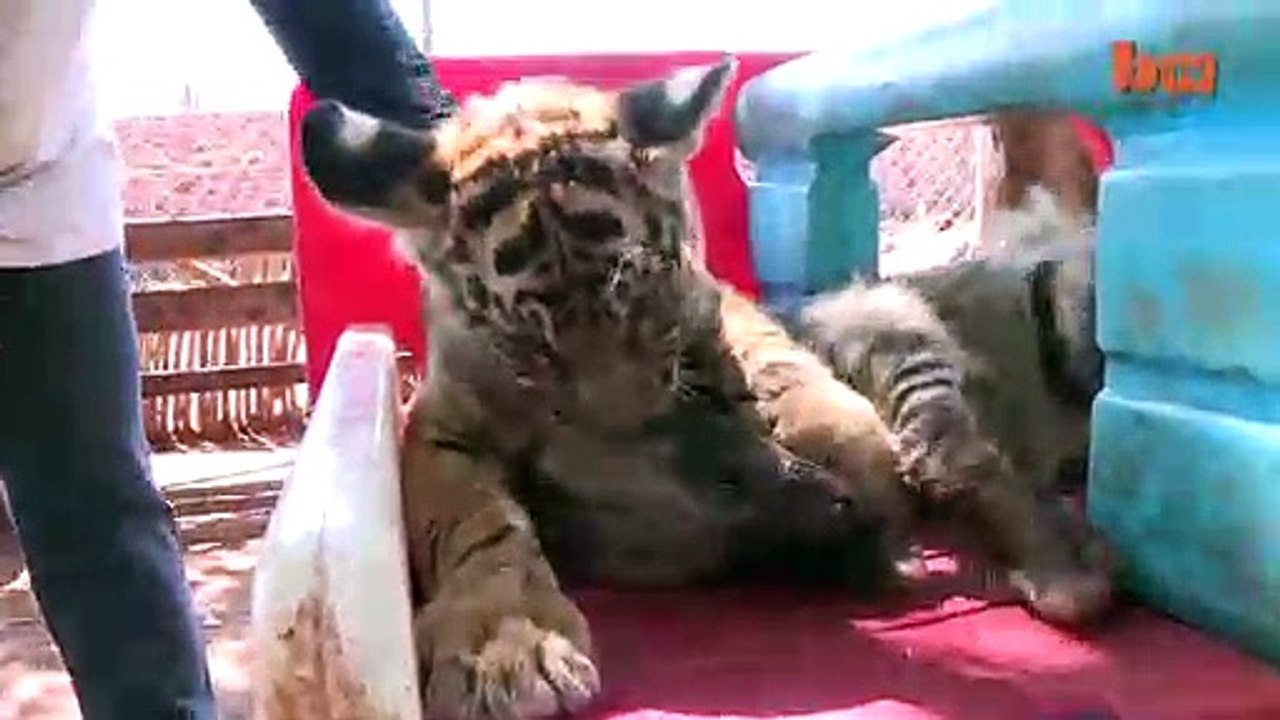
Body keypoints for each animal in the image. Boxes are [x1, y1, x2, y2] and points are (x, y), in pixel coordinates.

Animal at [298, 57, 929, 720]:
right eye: (535, 347)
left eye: (649, 312)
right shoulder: (445, 422)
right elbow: (479, 519)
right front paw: (511, 646)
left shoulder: (709, 326)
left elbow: (758, 383)